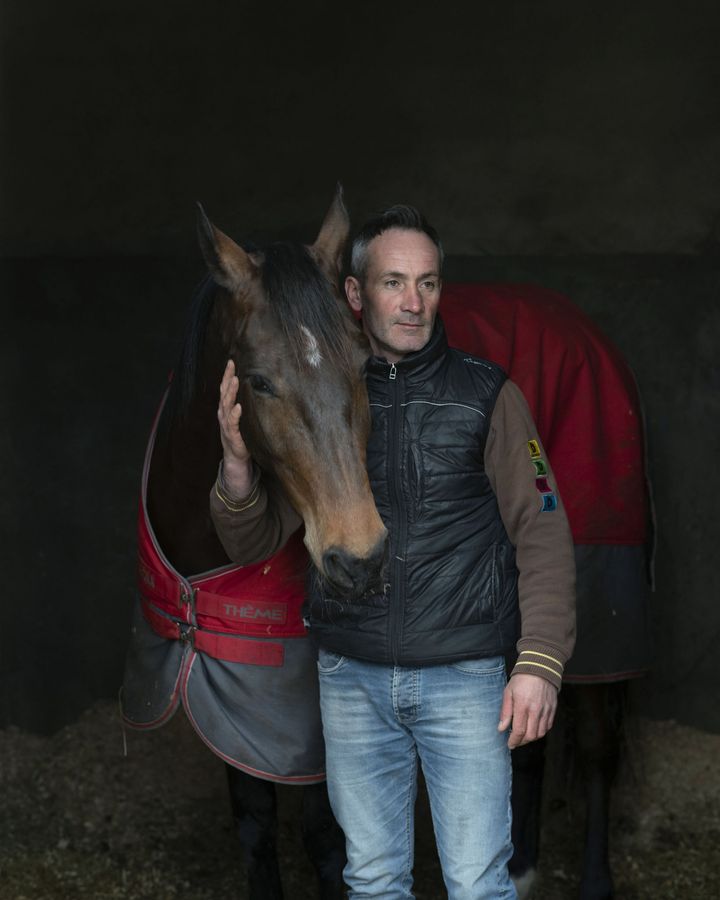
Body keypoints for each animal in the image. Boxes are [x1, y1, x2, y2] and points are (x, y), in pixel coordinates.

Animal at [121, 186, 386, 896]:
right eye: (260, 381)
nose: (360, 558)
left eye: (366, 364)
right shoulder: (232, 702)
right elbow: (254, 822)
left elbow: (327, 837)